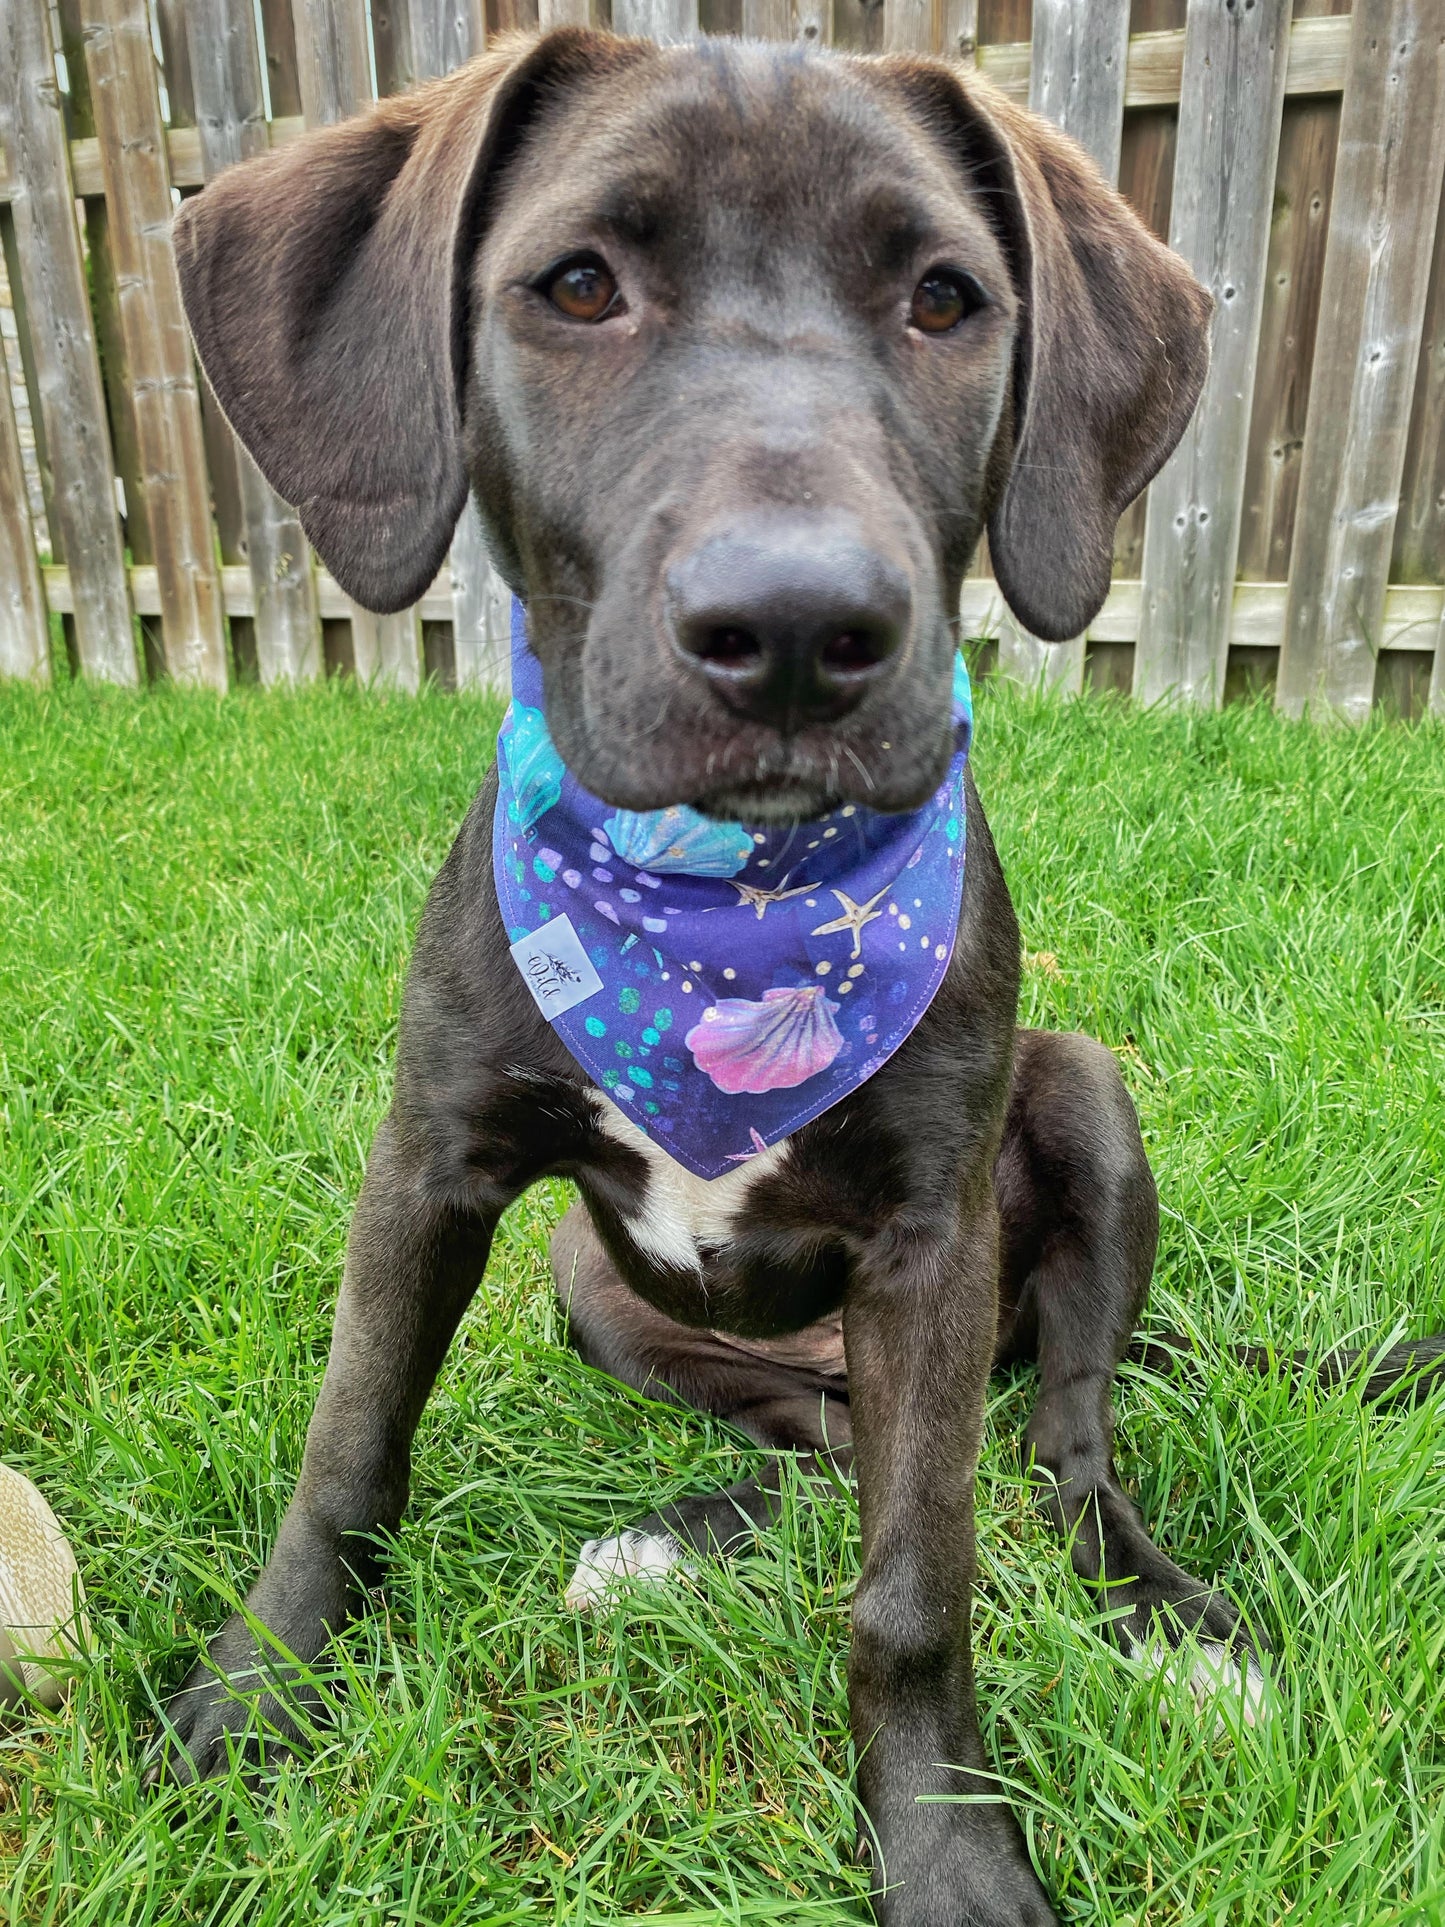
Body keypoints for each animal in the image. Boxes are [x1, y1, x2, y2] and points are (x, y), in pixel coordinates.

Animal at [153, 33, 1441, 1927]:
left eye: (944, 300)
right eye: (579, 286)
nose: (792, 630)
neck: (725, 907)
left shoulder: (924, 1240)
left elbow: (915, 1588)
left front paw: (951, 1849)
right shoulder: (431, 1165)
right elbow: (350, 1442)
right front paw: (261, 1686)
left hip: (1078, 1106)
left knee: (1055, 1436)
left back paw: (1167, 1619)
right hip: (598, 1287)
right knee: (825, 1447)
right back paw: (666, 1546)